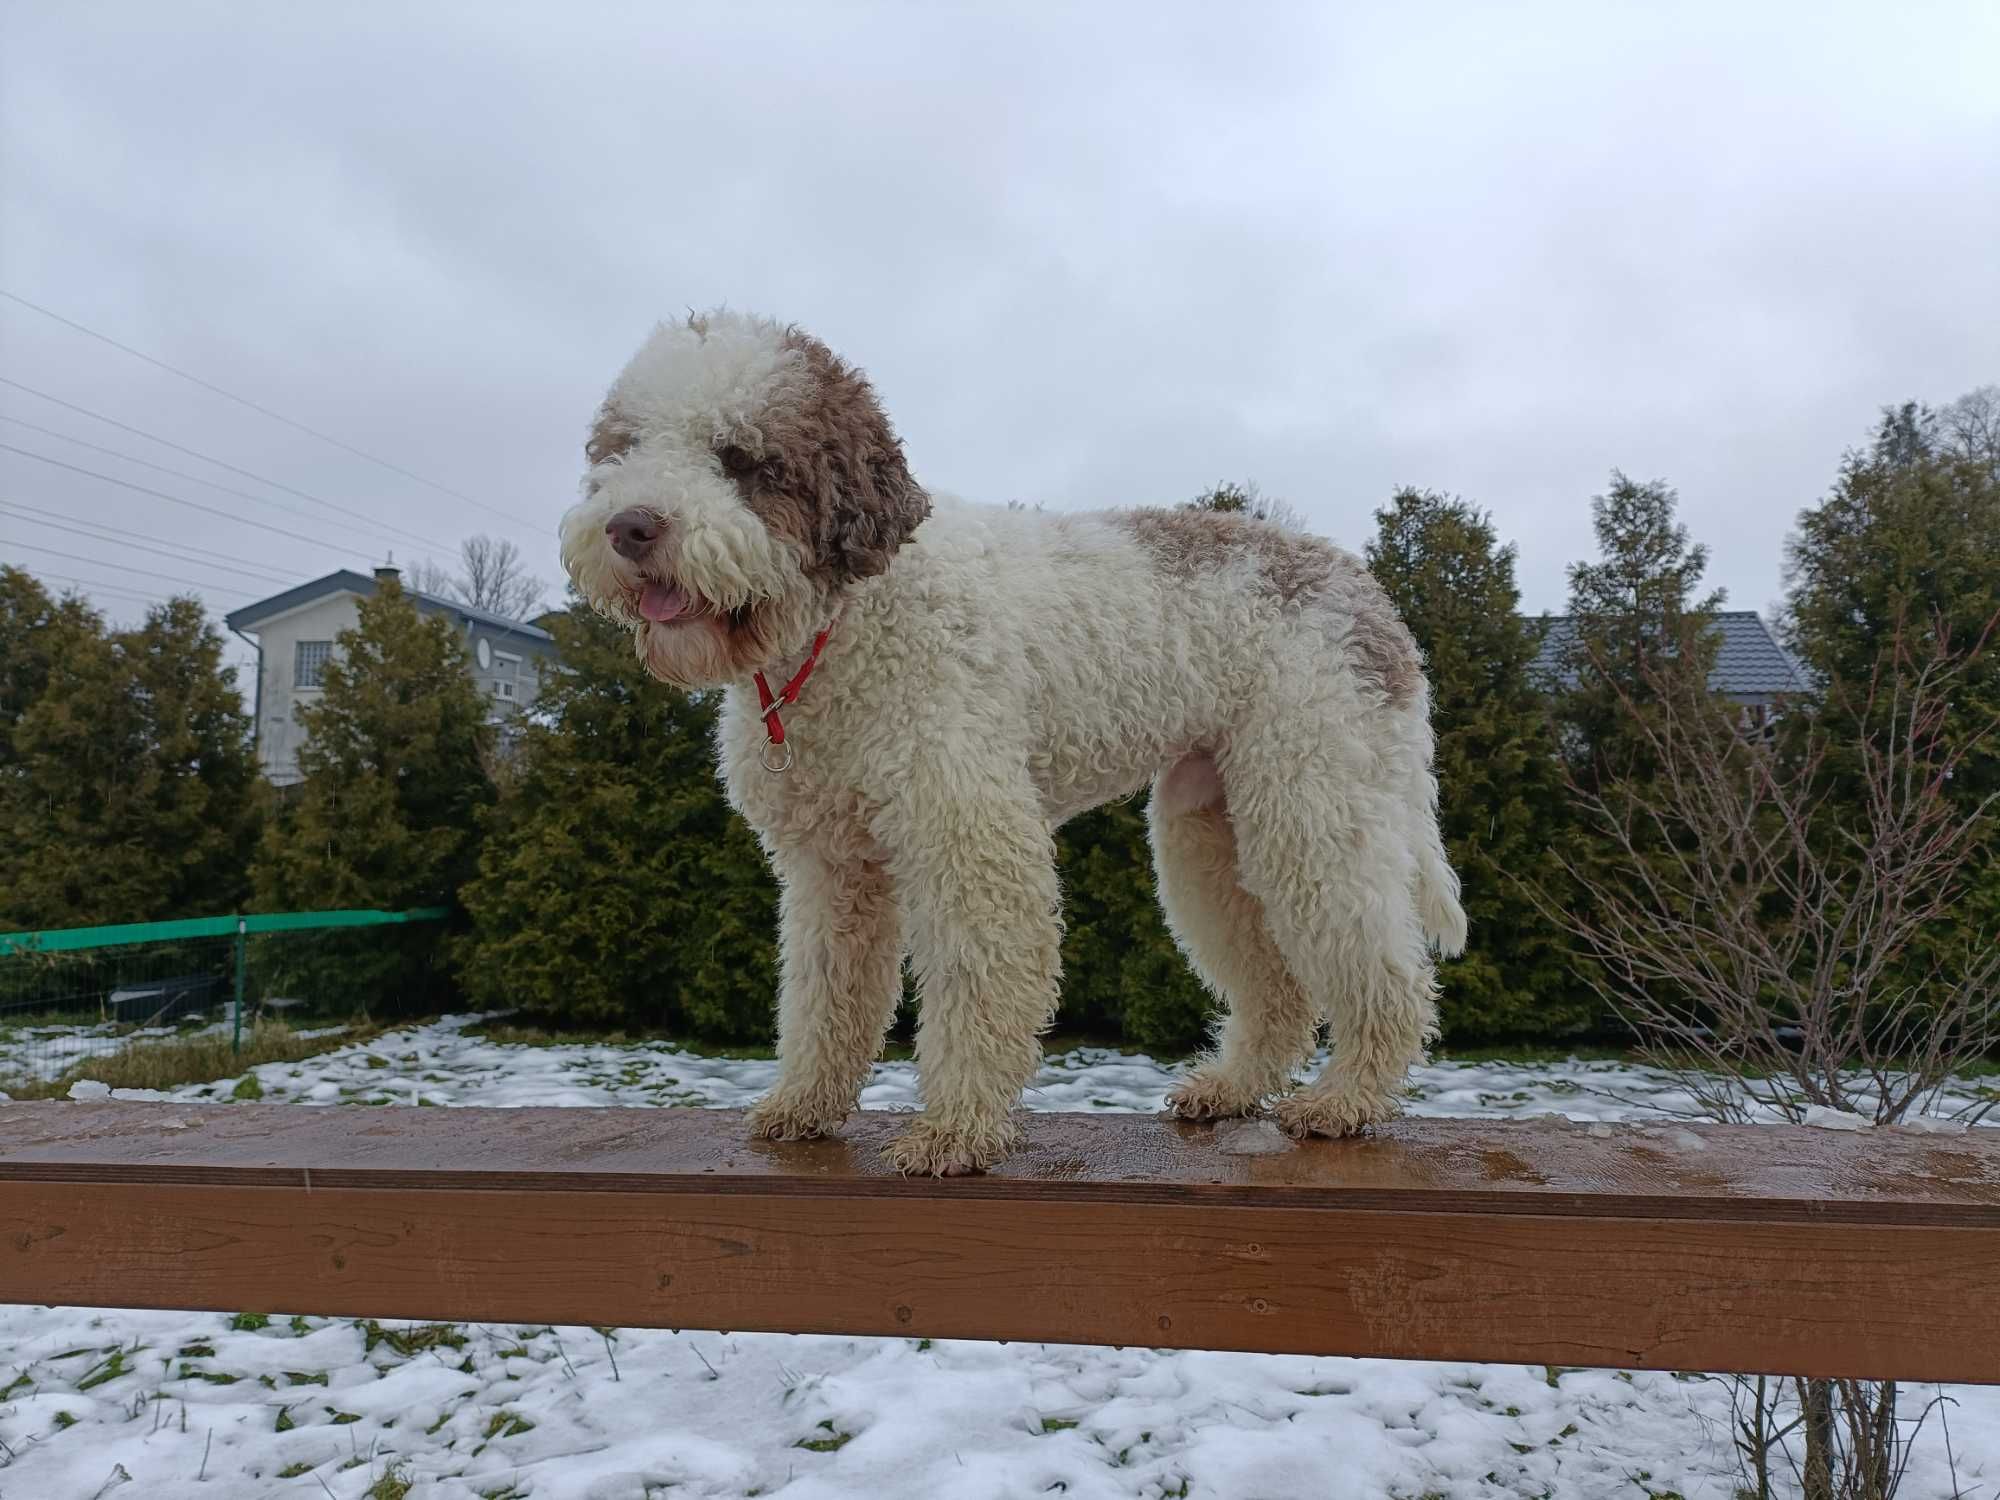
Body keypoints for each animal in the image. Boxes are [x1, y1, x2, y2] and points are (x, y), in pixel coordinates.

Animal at [564, 312, 1472, 1184]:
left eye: (742, 458)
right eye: (624, 449)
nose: (630, 527)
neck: (845, 625)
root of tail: (1373, 601)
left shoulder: (966, 832)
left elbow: (976, 981)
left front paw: (955, 1132)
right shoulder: (832, 868)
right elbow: (826, 993)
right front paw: (804, 1105)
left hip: (1313, 796)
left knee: (1388, 971)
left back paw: (1346, 1100)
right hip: (1208, 827)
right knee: (1276, 987)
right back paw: (1231, 1088)